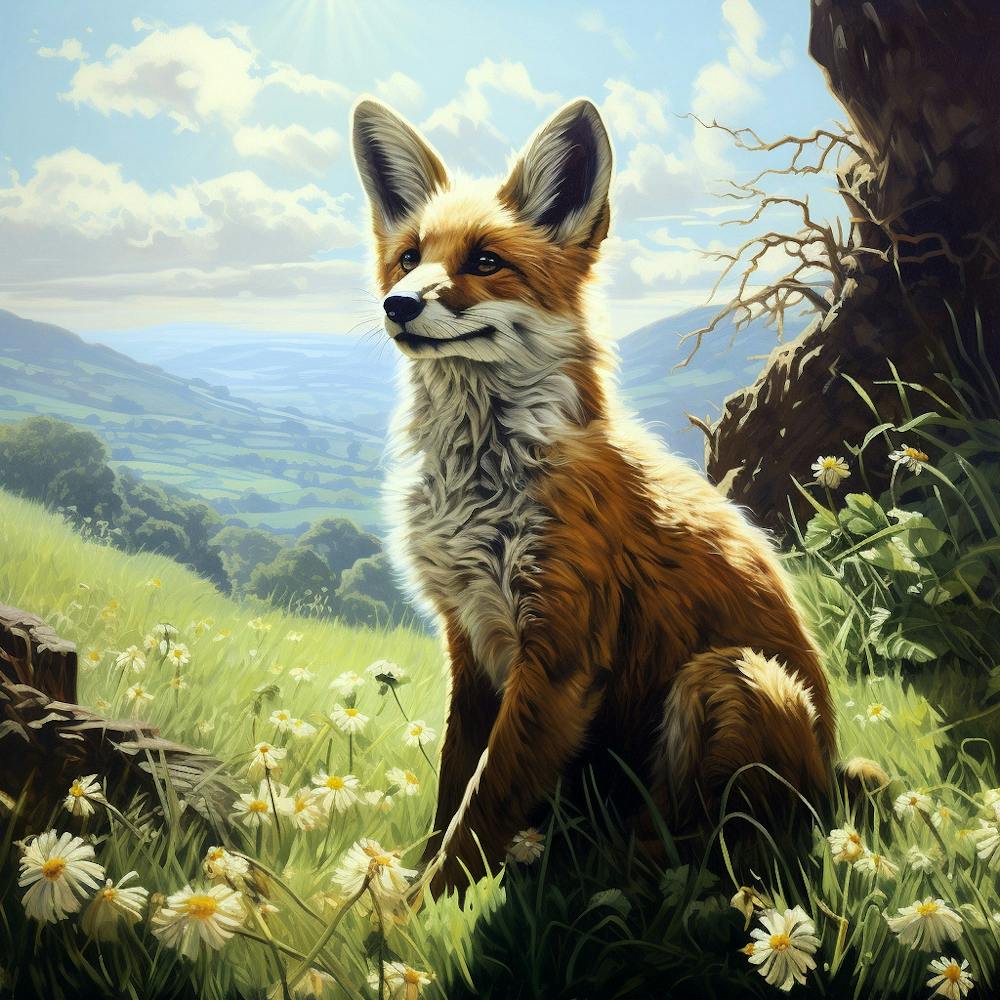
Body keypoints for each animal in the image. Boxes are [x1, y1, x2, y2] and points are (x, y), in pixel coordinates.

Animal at [351, 97, 843, 897]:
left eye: (484, 261)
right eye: (408, 258)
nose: (397, 304)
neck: (480, 486)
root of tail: (832, 784)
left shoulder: (559, 656)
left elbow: (481, 809)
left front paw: (416, 912)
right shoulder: (469, 638)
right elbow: (454, 787)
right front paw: (407, 891)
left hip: (724, 678)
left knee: (701, 850)